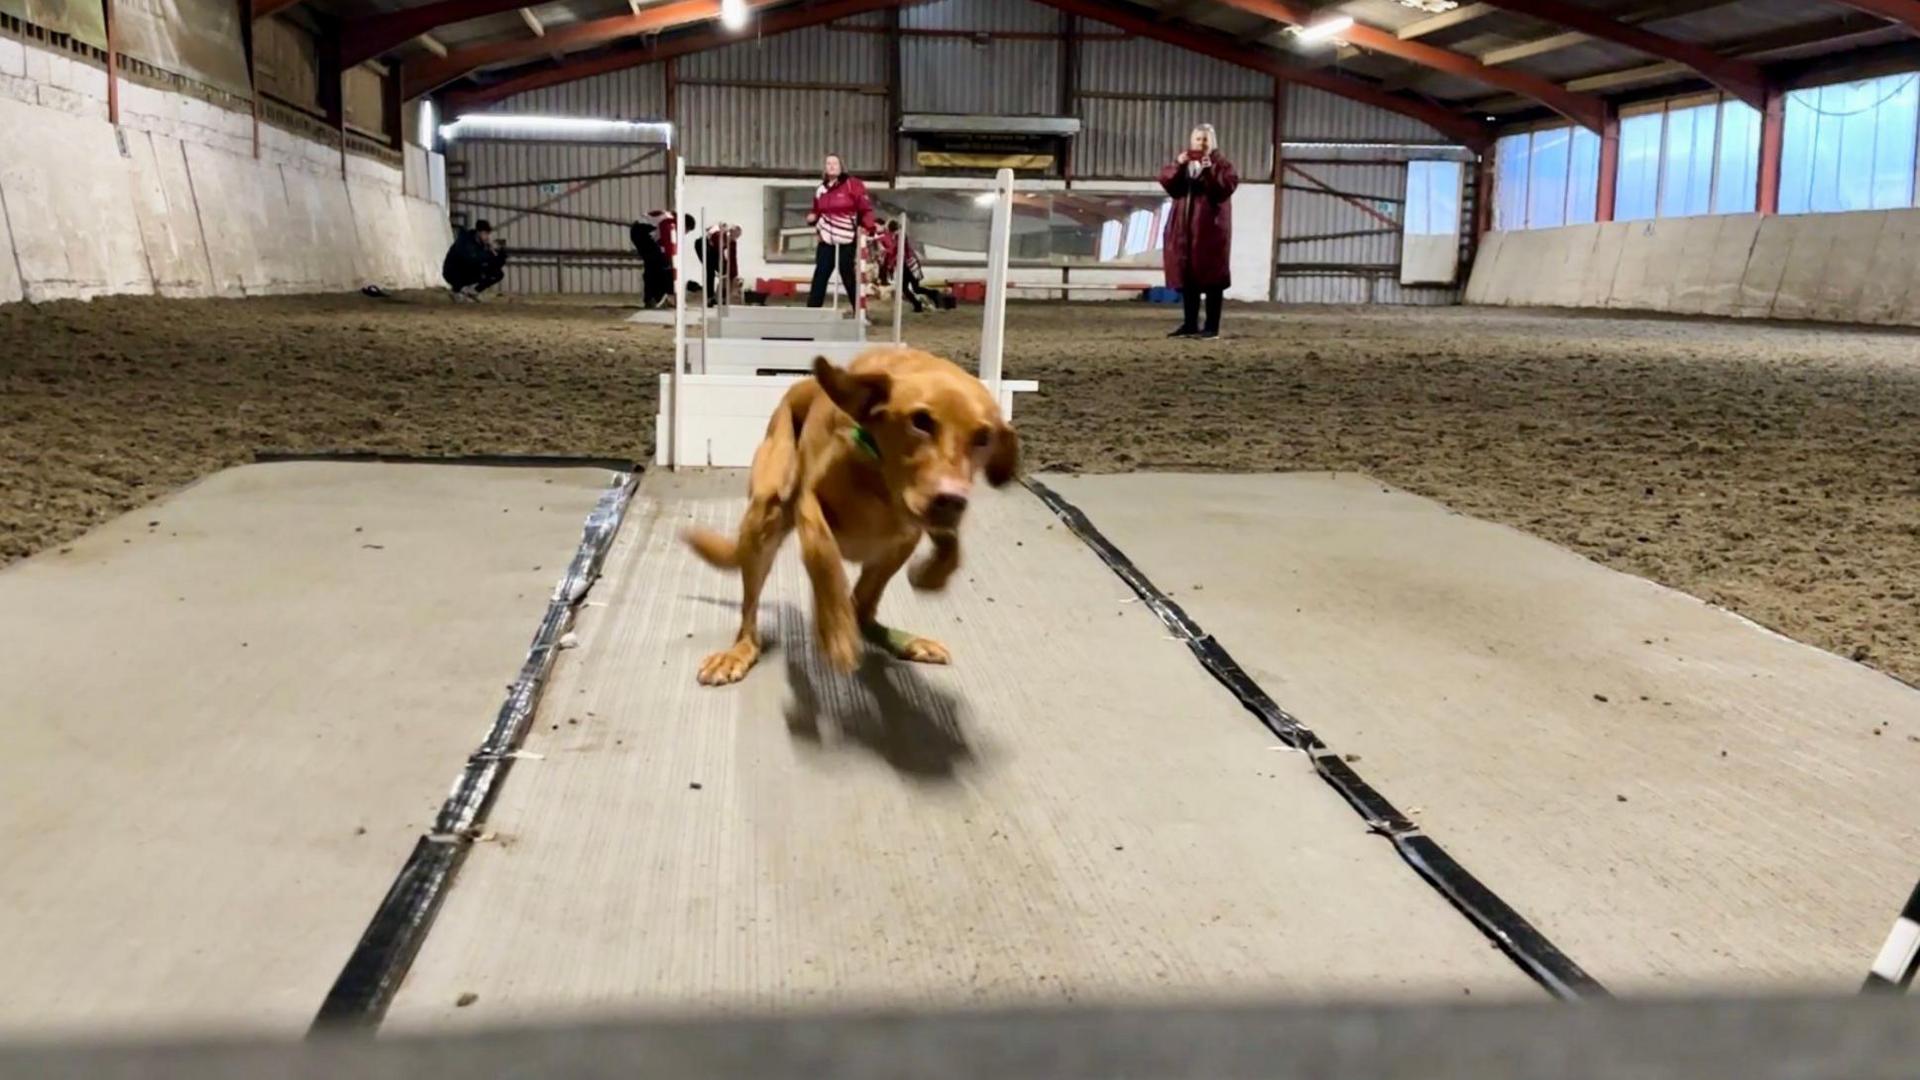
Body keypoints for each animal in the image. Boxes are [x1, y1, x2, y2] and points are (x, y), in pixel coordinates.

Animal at [687, 343, 1021, 680]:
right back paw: (740, 650)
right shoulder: (809, 503)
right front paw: (835, 632)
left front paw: (931, 574)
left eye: (983, 437)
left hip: (892, 552)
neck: (880, 478)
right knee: (752, 611)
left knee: (863, 608)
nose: (951, 500)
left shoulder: (916, 524)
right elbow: (823, 555)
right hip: (764, 515)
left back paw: (902, 640)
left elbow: (950, 548)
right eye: (920, 421)